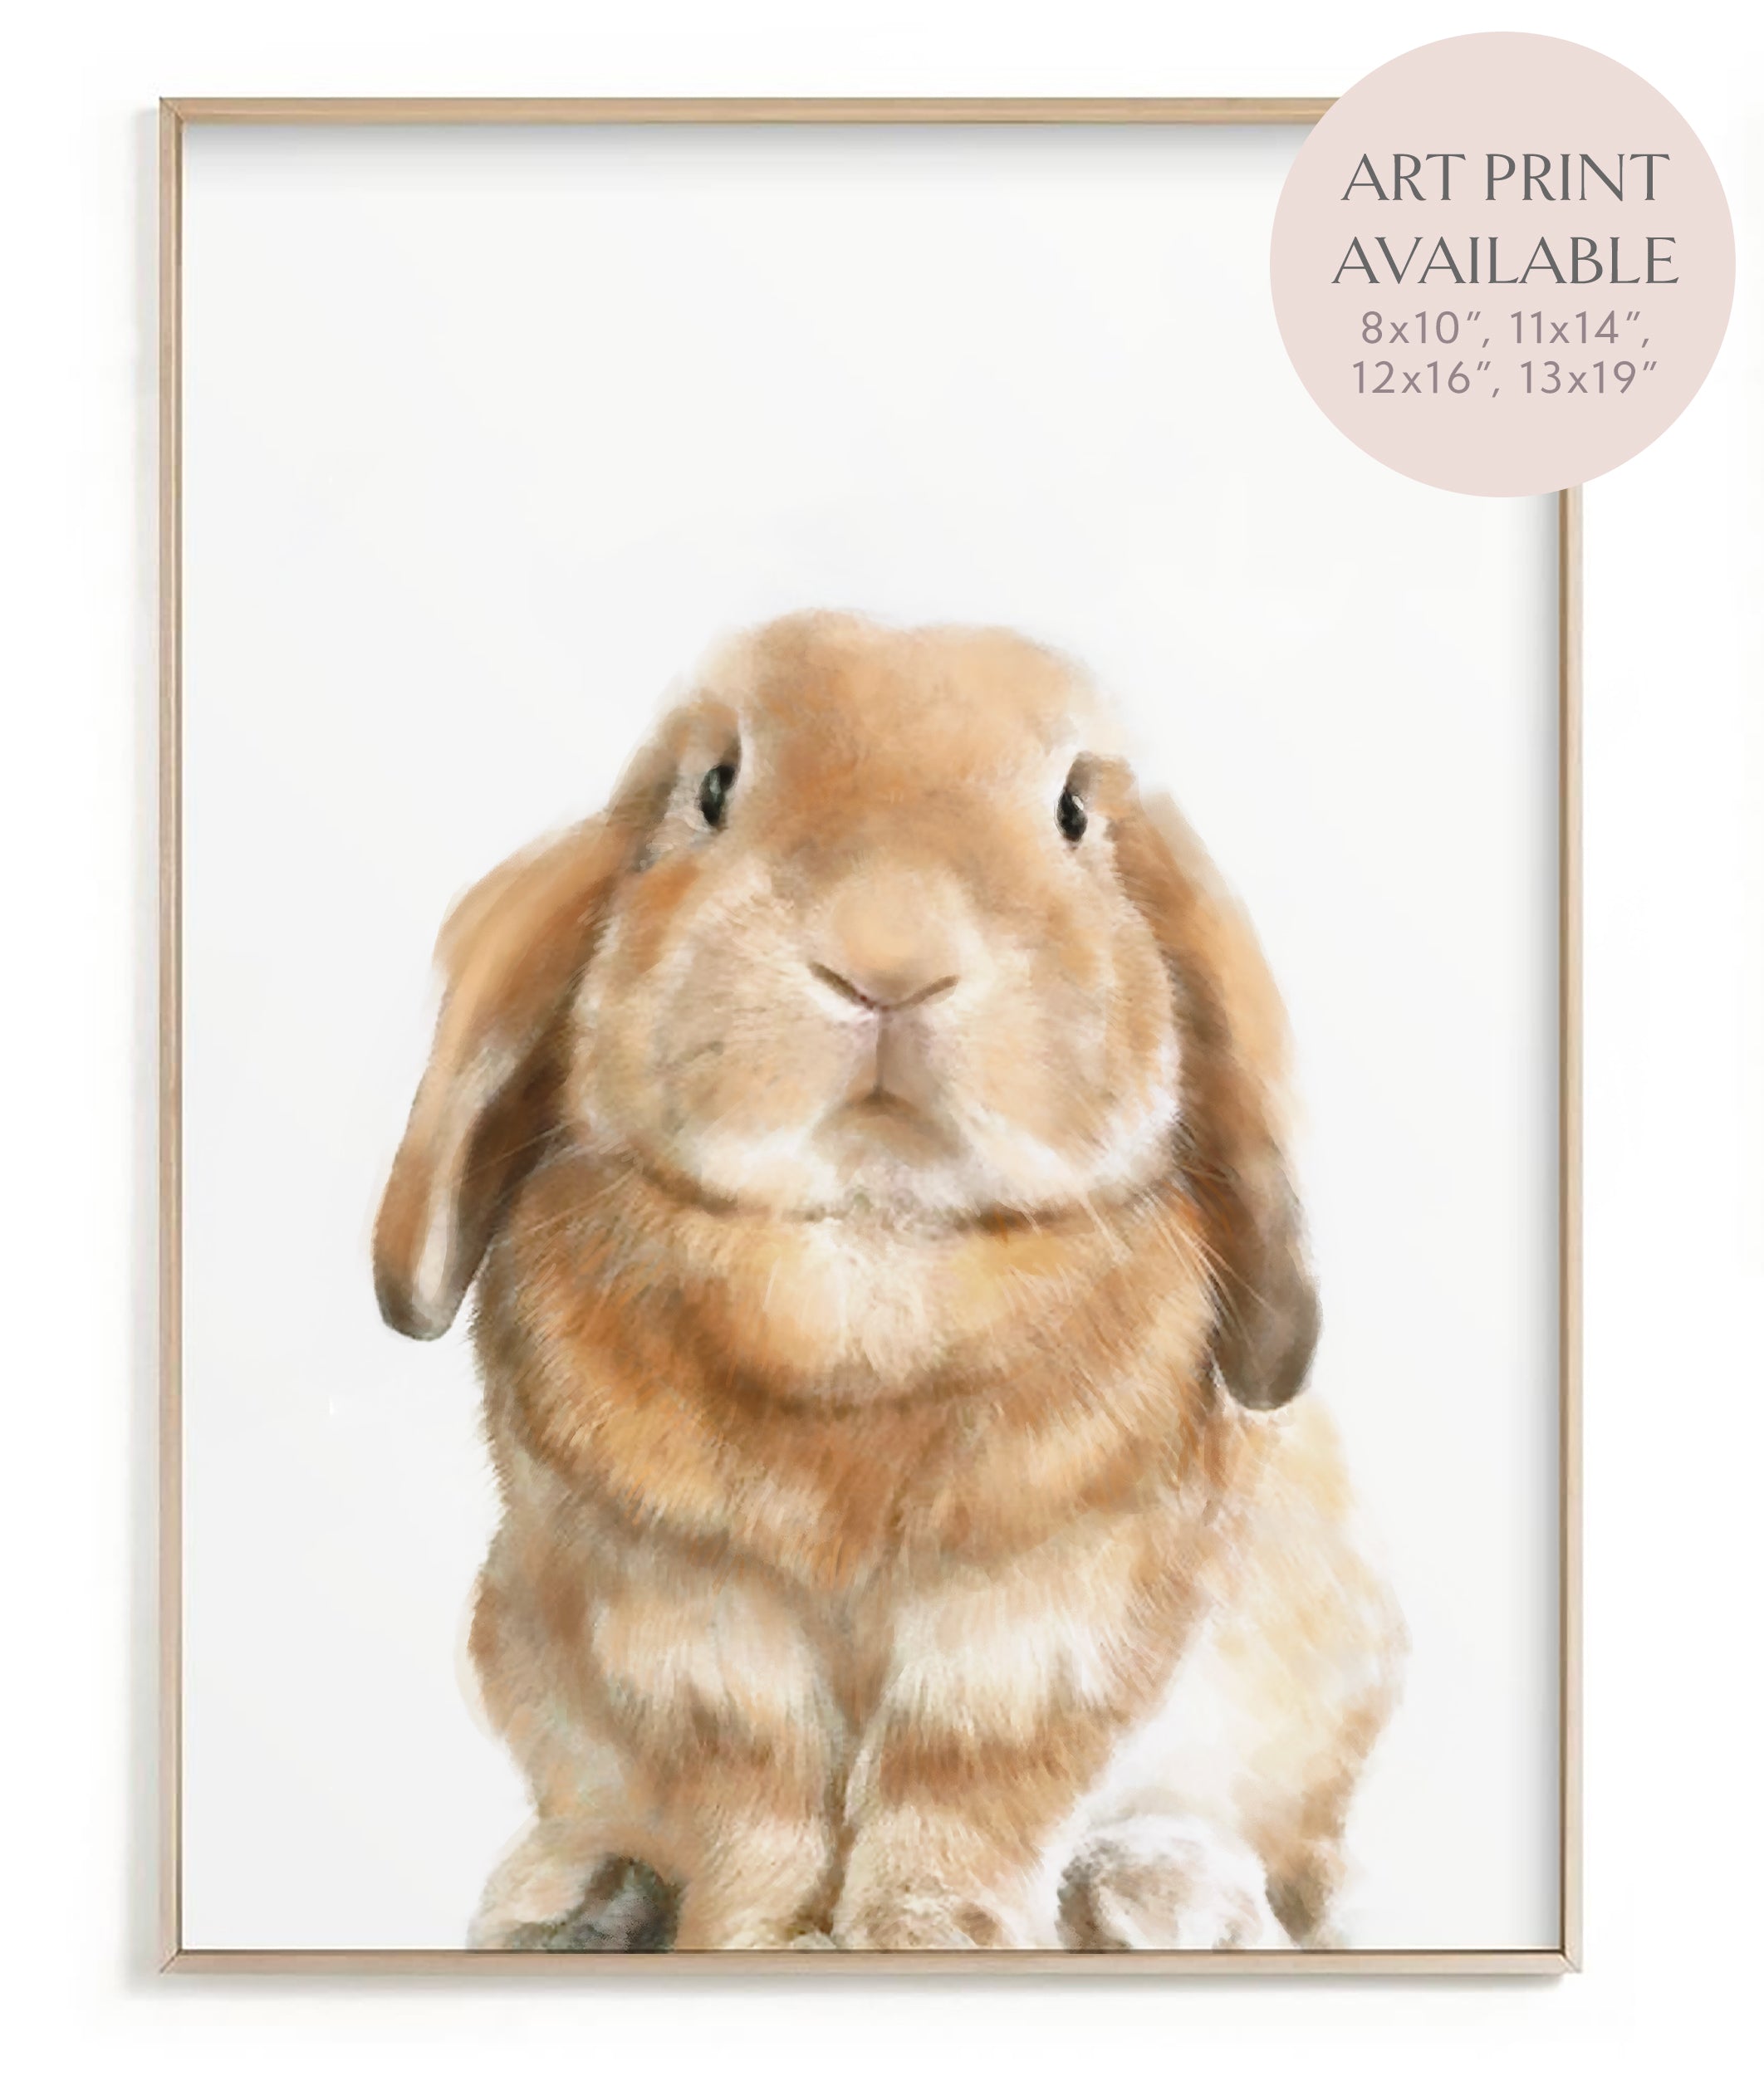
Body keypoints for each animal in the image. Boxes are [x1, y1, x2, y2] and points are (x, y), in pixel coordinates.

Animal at [373, 610, 1406, 1952]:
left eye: (1074, 812)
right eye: (714, 790)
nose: (889, 959)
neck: (871, 1248)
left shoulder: (1043, 1615)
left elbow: (960, 1787)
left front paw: (933, 1937)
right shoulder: (685, 1615)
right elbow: (753, 1793)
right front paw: (755, 1939)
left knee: (1273, 1852)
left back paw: (1163, 1898)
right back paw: (568, 1896)